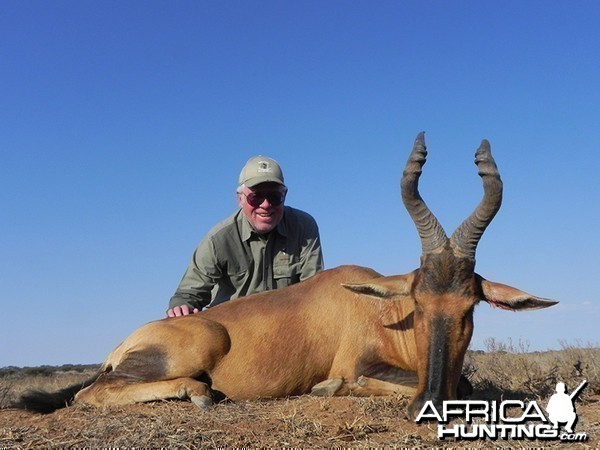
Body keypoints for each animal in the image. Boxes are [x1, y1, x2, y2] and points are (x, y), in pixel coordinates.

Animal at [19, 133, 556, 418]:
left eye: (470, 307)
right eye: (418, 303)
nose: (429, 404)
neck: (379, 309)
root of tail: (123, 342)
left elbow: (464, 386)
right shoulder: (358, 364)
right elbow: (363, 380)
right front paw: (326, 389)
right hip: (193, 347)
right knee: (89, 392)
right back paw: (199, 393)